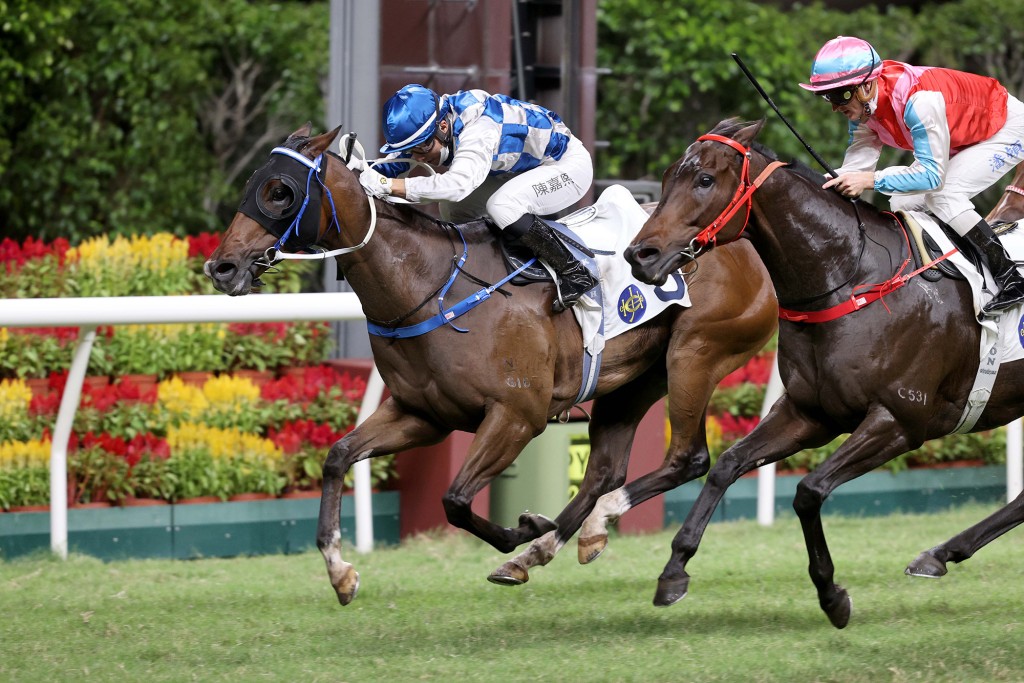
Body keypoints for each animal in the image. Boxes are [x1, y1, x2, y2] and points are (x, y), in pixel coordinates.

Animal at [204, 123, 778, 606]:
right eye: (254, 184)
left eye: (280, 191)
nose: (221, 266)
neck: (430, 284)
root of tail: (749, 246)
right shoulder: (423, 415)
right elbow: (338, 457)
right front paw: (340, 572)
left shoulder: (516, 416)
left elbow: (456, 499)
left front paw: (521, 529)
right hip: (633, 378)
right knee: (604, 470)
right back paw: (551, 546)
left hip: (693, 356)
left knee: (689, 458)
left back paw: (556, 540)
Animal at [622, 117, 1024, 629]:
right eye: (669, 174)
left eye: (705, 180)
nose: (640, 255)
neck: (852, 278)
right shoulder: (810, 413)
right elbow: (727, 465)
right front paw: (674, 570)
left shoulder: (901, 420)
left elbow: (808, 491)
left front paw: (832, 595)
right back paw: (940, 553)